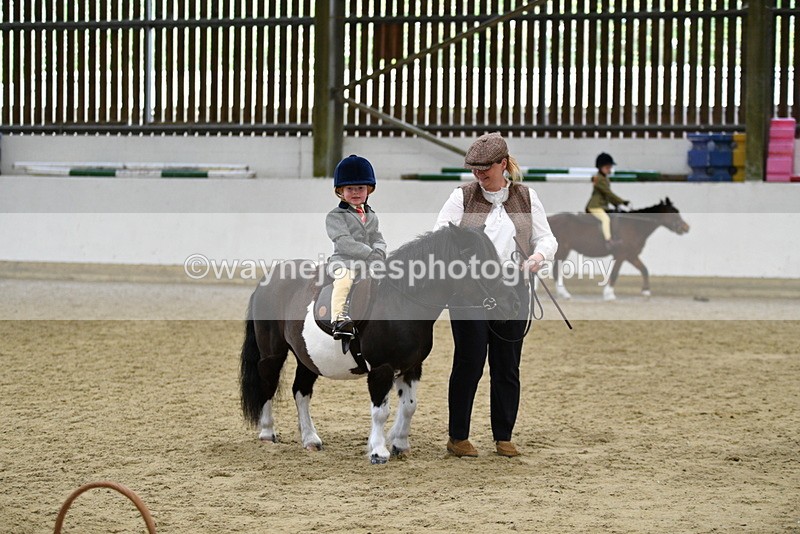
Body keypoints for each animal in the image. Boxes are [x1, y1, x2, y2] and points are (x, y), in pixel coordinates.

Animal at [239, 223, 522, 464]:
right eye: (476, 260)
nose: (512, 303)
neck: (401, 302)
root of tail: (267, 280)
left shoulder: (411, 367)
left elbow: (409, 407)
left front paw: (400, 445)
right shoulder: (381, 369)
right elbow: (380, 411)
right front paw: (378, 451)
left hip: (306, 357)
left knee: (301, 392)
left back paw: (310, 439)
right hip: (273, 353)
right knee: (268, 383)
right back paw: (267, 434)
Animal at [547, 198, 690, 300]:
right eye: (674, 212)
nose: (686, 227)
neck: (635, 225)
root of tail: (550, 219)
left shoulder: (631, 255)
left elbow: (644, 270)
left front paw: (646, 290)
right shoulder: (621, 255)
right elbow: (615, 273)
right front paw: (609, 294)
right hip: (563, 250)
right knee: (556, 271)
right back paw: (564, 293)